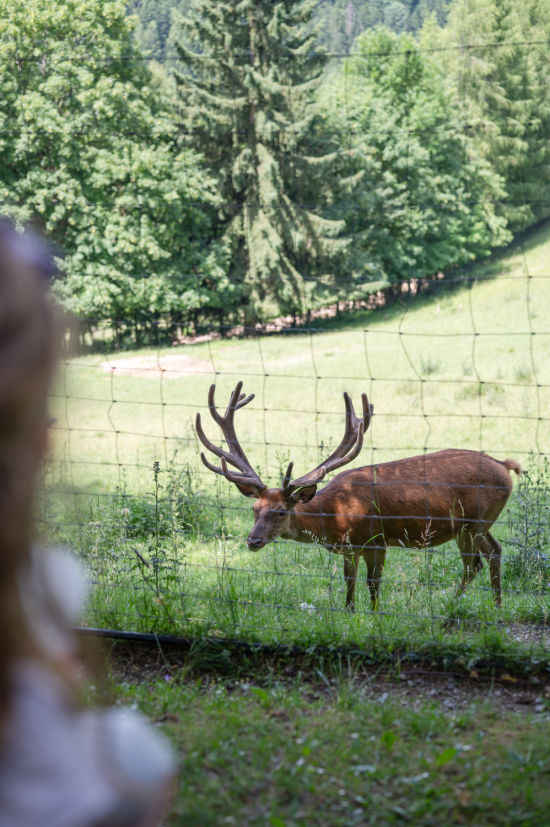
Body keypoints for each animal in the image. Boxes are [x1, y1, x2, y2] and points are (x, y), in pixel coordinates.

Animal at [195, 382, 521, 612]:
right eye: (254, 508)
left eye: (281, 511)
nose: (253, 541)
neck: (335, 516)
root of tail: (505, 466)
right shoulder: (349, 549)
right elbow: (349, 584)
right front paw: (350, 614)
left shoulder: (377, 540)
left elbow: (373, 584)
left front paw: (376, 616)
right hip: (480, 524)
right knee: (495, 551)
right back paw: (497, 606)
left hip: (471, 523)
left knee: (475, 563)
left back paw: (451, 607)